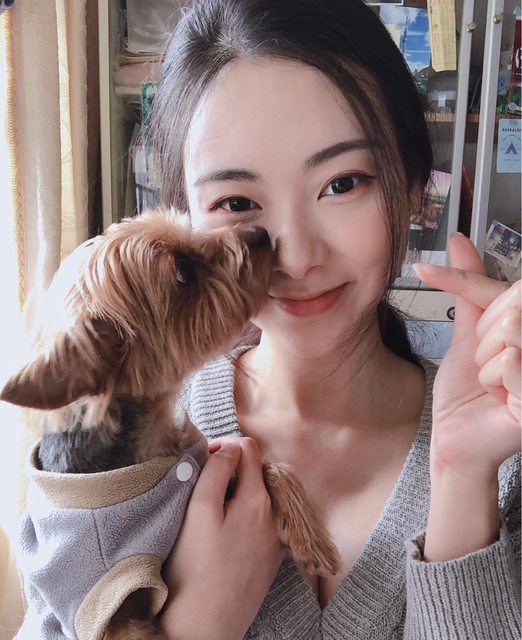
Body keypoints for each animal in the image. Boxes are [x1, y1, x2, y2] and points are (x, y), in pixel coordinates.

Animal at [1, 208, 340, 640]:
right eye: (182, 271)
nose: (261, 232)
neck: (155, 441)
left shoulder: (209, 458)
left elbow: (272, 466)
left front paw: (312, 541)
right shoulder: (111, 611)